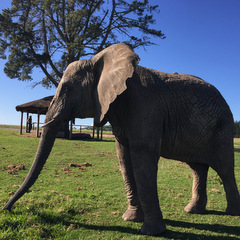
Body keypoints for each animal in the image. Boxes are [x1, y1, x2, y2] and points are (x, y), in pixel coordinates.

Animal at [2, 42, 240, 235]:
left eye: (68, 88)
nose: (7, 209)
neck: (99, 60)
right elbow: (124, 157)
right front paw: (130, 219)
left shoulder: (145, 107)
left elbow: (142, 156)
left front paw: (152, 231)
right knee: (198, 168)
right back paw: (192, 211)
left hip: (223, 127)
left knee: (224, 167)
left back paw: (231, 213)